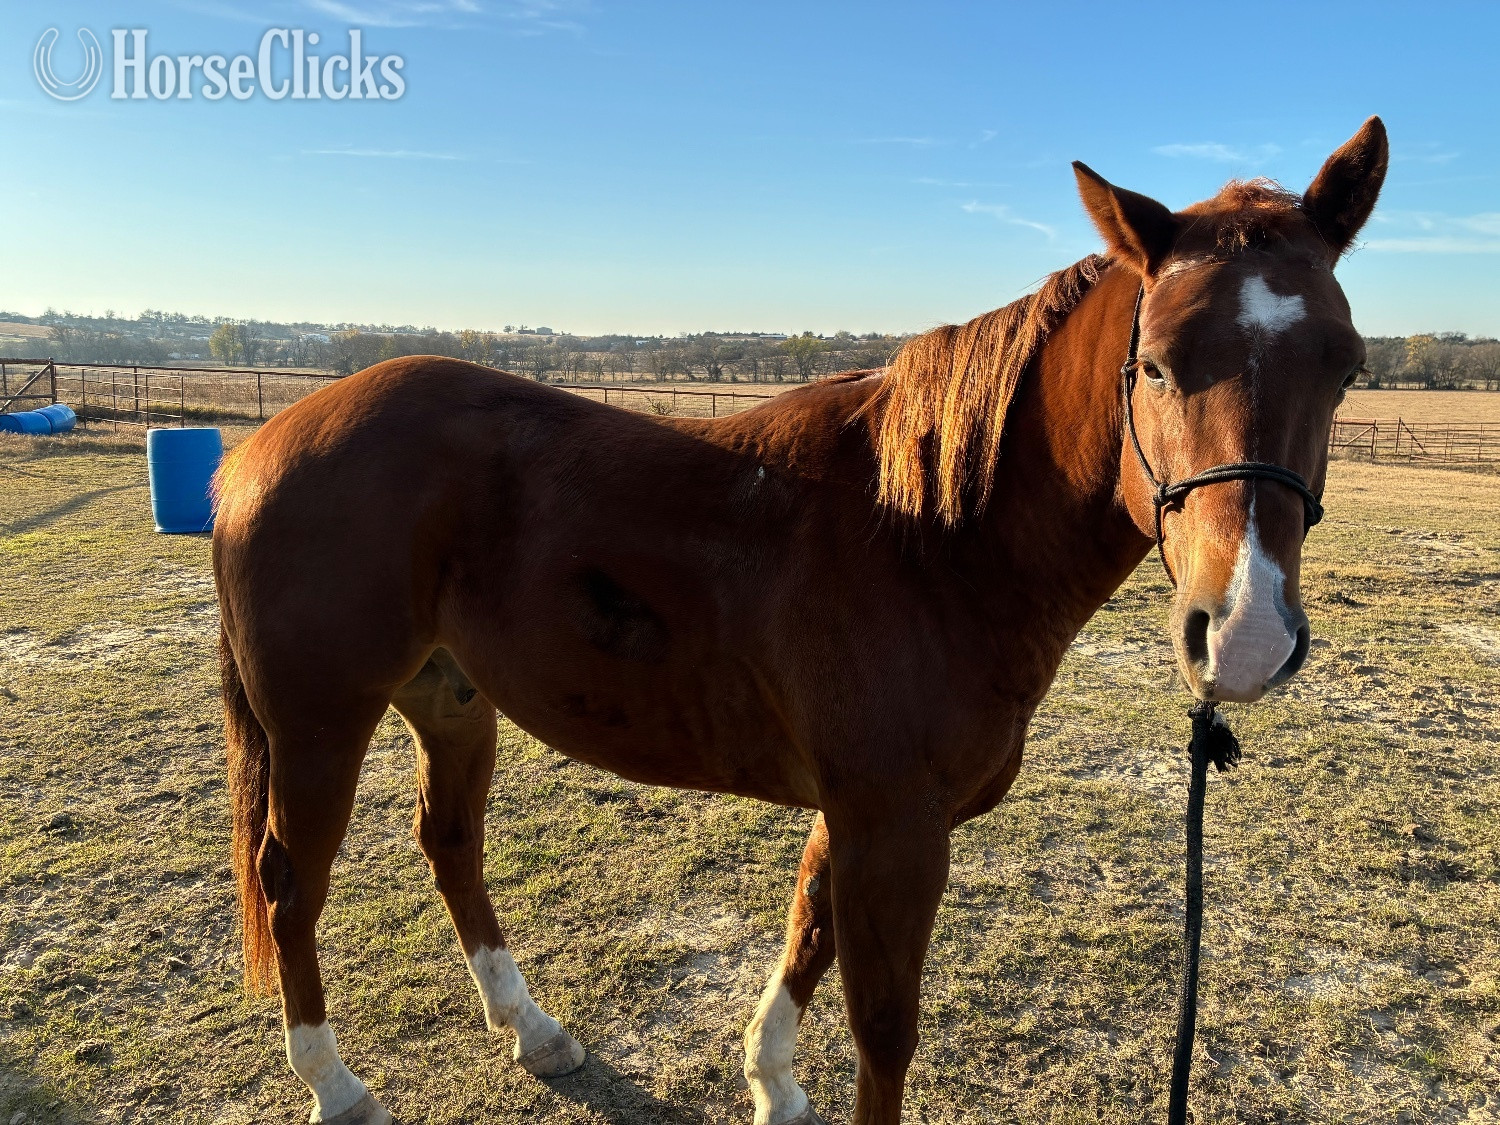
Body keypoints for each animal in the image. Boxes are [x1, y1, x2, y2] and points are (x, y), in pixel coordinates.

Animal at [212, 118, 1387, 1125]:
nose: (1245, 631)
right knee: (289, 883)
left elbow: (806, 933)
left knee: (448, 845)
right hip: (320, 725)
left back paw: (532, 1029)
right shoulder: (893, 829)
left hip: (452, 701)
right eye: (1155, 361)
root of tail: (266, 441)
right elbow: (883, 1027)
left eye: (1345, 366)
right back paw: (335, 1084)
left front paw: (771, 1080)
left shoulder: (864, 817)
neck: (933, 538)